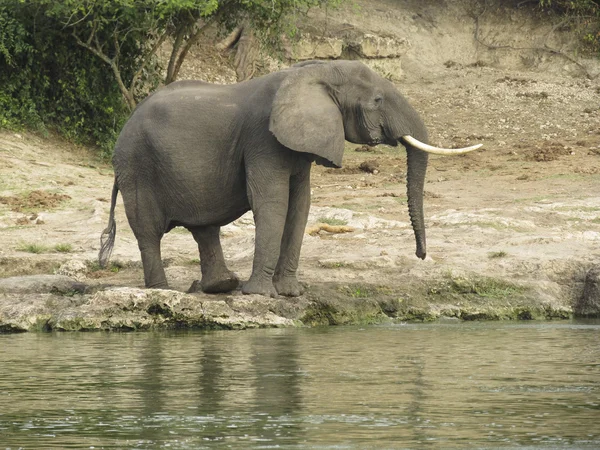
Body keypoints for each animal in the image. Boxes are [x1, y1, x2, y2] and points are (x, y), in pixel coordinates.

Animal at [98, 60, 482, 298]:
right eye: (376, 100)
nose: (420, 255)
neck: (317, 70)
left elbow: (300, 204)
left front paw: (291, 293)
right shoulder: (263, 139)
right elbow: (273, 202)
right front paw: (261, 295)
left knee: (204, 227)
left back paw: (222, 286)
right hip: (137, 165)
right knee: (149, 230)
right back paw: (162, 292)